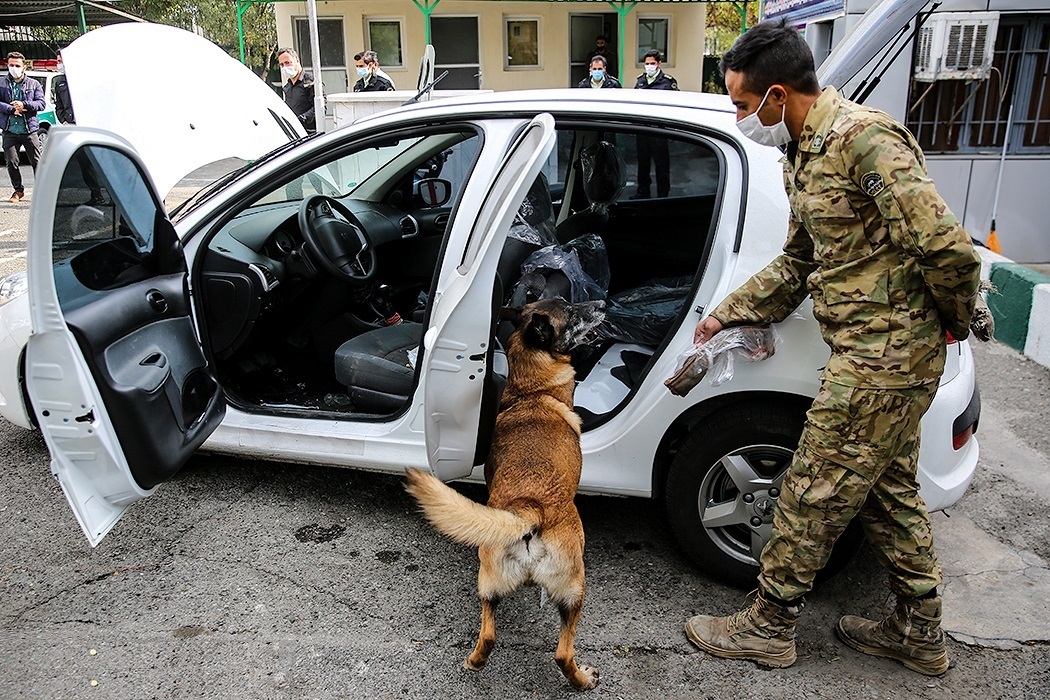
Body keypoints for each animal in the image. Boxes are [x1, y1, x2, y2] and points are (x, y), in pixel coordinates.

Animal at [403, 298, 604, 688]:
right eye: (572, 310)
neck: (531, 390)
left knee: (488, 635)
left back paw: (474, 662)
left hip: (488, 585)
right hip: (576, 590)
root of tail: (530, 509)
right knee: (563, 652)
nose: (603, 303)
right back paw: (582, 679)